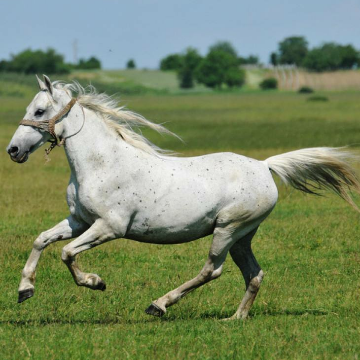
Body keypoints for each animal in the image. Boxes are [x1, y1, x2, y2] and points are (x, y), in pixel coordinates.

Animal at [6, 74, 360, 320]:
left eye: (40, 110)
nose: (13, 150)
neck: (101, 163)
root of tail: (265, 165)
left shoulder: (110, 227)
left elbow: (66, 253)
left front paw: (95, 282)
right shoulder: (79, 221)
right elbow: (41, 240)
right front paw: (25, 290)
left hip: (228, 229)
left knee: (212, 270)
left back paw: (159, 304)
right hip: (243, 236)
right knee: (254, 274)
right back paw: (236, 318)